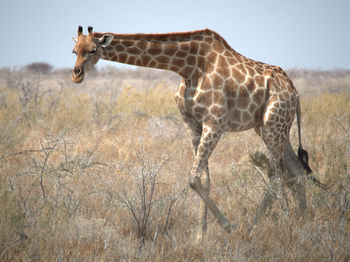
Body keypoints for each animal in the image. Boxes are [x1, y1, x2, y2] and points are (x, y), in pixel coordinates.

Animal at [72, 26, 318, 239]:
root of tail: (295, 92)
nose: (76, 74)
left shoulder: (215, 122)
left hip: (272, 125)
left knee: (276, 175)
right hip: (272, 127)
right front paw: (200, 237)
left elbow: (193, 178)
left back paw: (253, 226)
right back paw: (303, 220)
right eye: (74, 51)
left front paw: (228, 226)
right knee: (296, 169)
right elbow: (204, 180)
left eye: (93, 50)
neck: (189, 66)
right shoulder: (192, 123)